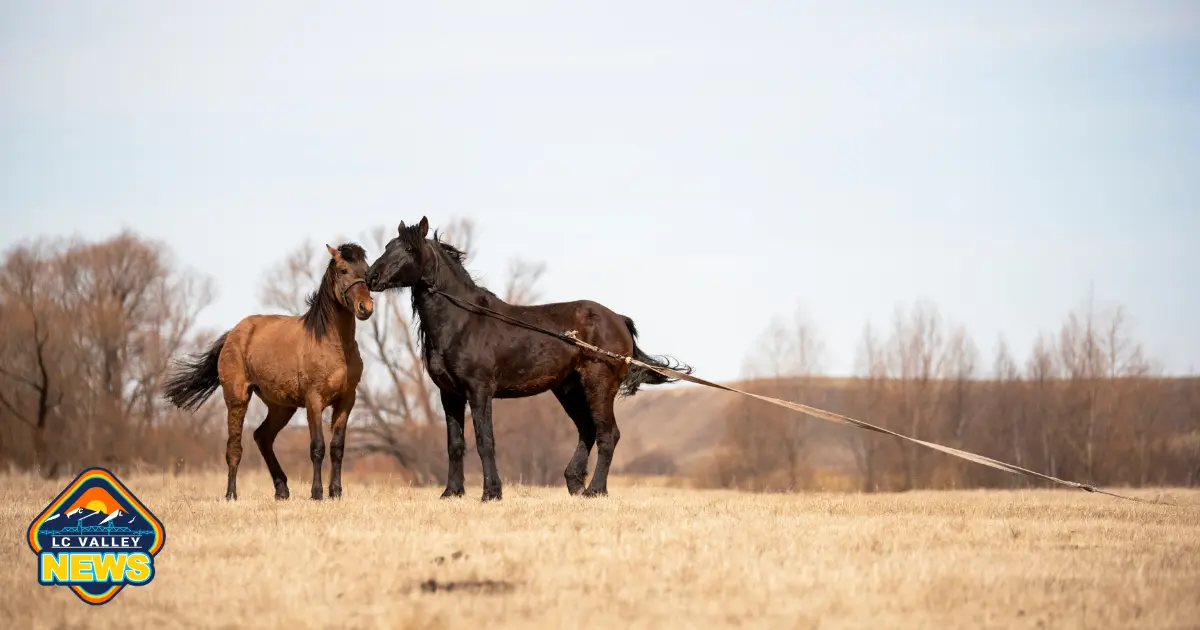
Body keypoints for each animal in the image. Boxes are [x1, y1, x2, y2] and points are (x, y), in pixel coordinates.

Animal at [163, 243, 374, 501]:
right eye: (343, 270)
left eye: (366, 269)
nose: (366, 308)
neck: (332, 344)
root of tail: (234, 333)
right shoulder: (314, 400)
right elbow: (317, 446)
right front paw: (316, 493)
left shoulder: (346, 400)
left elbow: (337, 448)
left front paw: (335, 492)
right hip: (237, 399)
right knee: (235, 447)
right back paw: (231, 494)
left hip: (281, 407)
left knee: (262, 437)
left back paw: (281, 489)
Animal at [364, 216, 691, 501]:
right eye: (387, 246)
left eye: (409, 249)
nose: (371, 277)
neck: (463, 321)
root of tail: (618, 320)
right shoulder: (450, 394)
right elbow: (455, 444)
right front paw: (451, 493)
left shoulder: (479, 391)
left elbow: (485, 441)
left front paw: (491, 493)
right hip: (569, 390)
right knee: (588, 430)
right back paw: (575, 484)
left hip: (598, 386)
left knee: (608, 434)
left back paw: (595, 490)